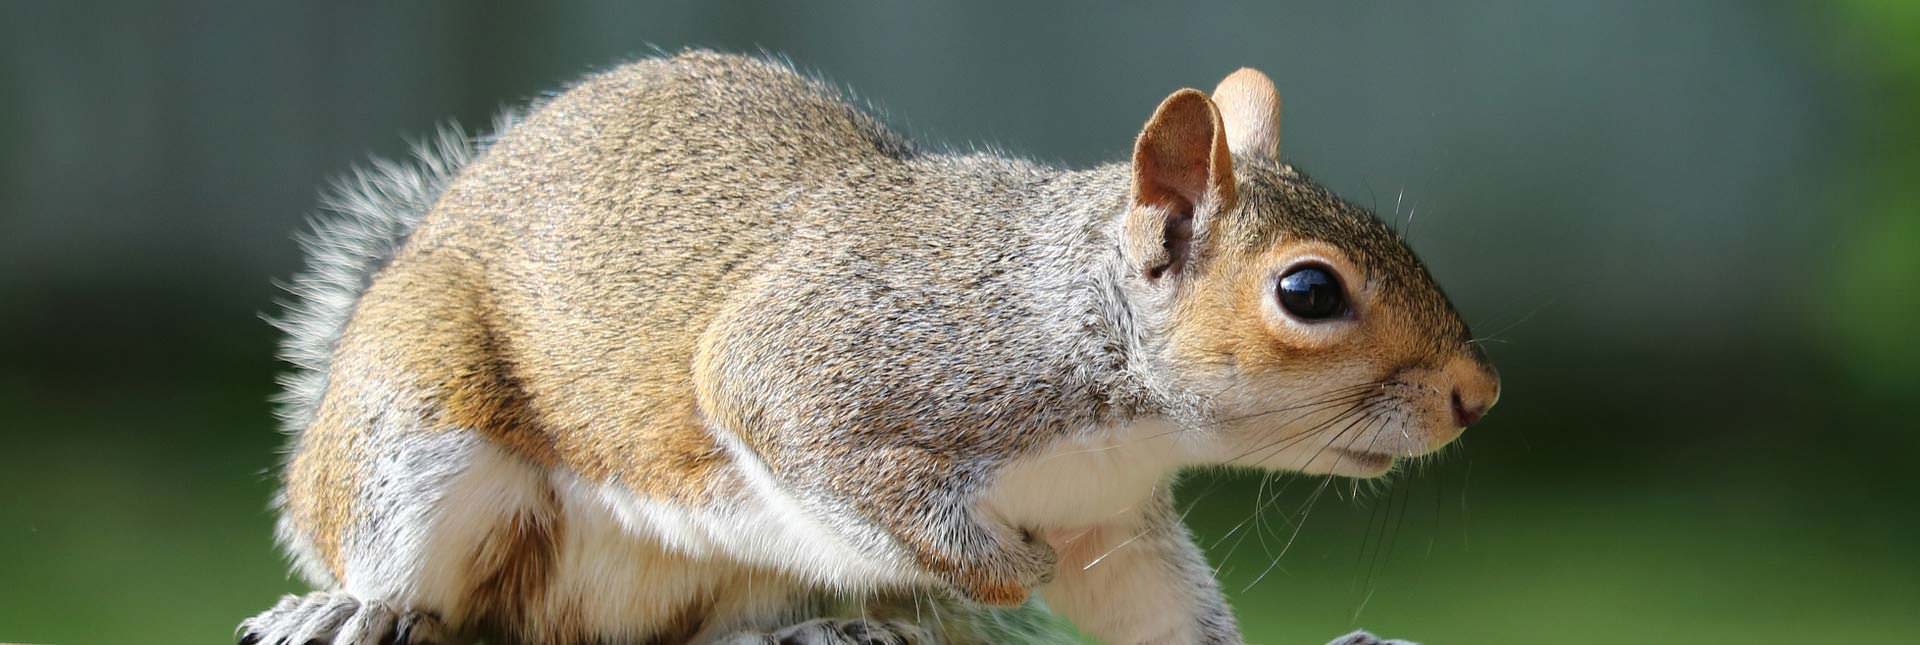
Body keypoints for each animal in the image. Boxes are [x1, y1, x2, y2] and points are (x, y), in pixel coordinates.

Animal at [239, 50, 1497, 645]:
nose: (1478, 396)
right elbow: (818, 448)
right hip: (415, 420)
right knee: (395, 558)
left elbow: (1155, 614)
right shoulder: (830, 368)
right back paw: (348, 608)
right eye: (1307, 290)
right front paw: (997, 568)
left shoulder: (1110, 526)